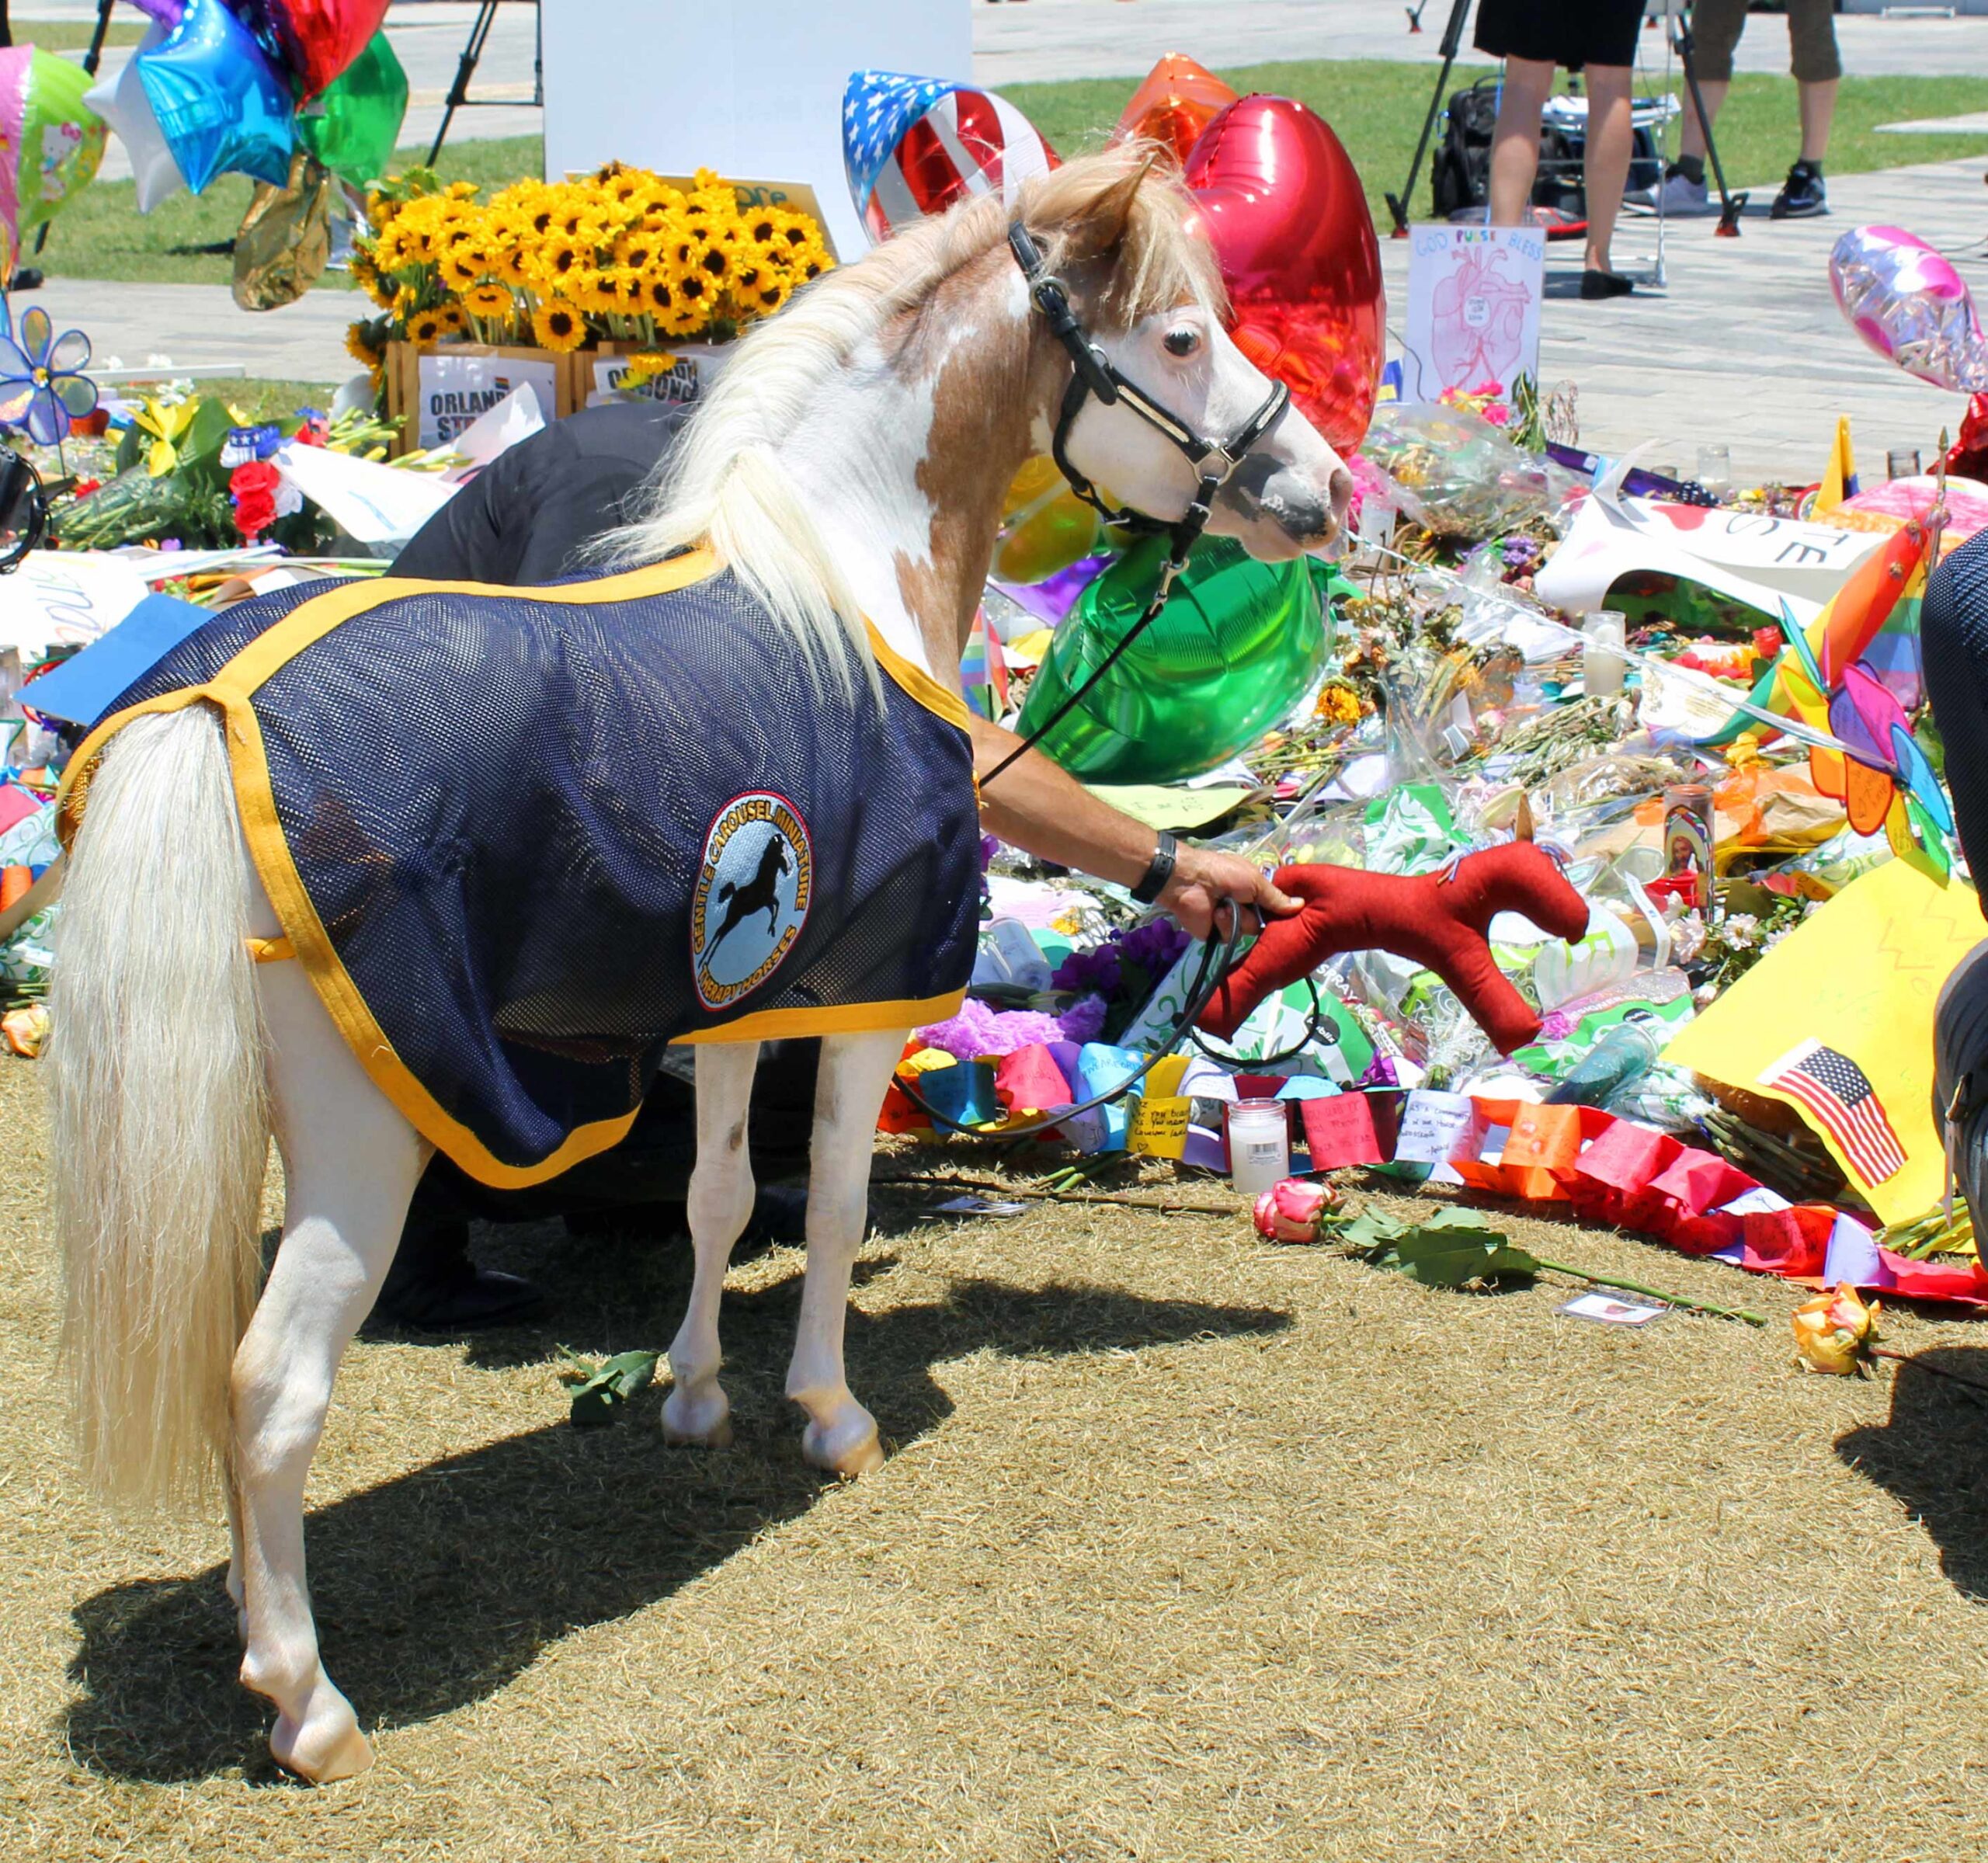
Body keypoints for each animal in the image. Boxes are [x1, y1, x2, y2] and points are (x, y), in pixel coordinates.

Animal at [50, 144, 1351, 1773]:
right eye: (1182, 334)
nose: (1326, 487)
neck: (840, 576)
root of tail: (206, 706)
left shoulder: (746, 997)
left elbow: (717, 1195)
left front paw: (695, 1394)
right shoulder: (868, 999)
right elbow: (842, 1201)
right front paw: (830, 1414)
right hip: (369, 1133)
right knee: (271, 1384)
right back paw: (305, 1695)